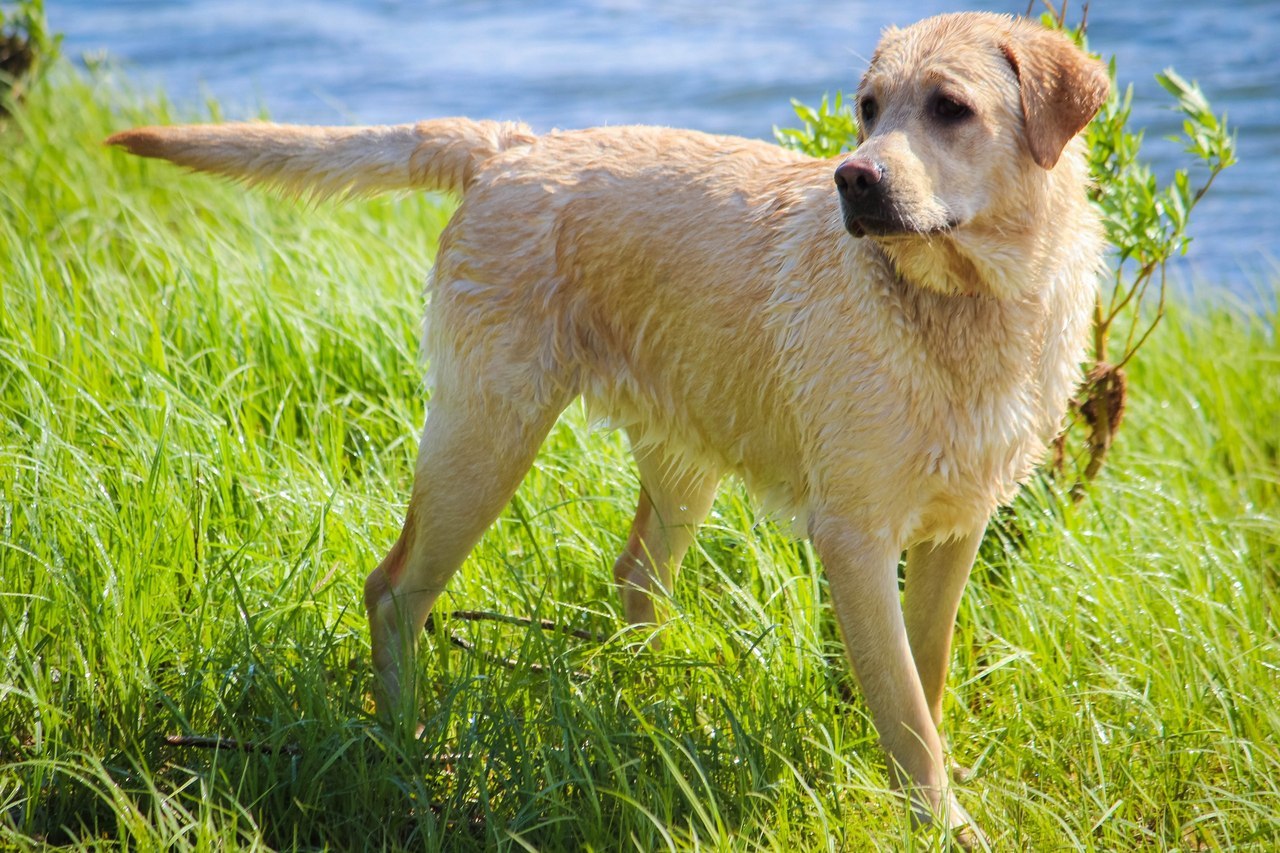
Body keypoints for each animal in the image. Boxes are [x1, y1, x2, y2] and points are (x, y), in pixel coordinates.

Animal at [107, 13, 1111, 845]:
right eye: (867, 110)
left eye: (951, 108)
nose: (852, 178)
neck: (966, 303)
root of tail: (514, 145)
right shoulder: (854, 537)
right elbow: (903, 708)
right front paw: (943, 823)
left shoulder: (957, 527)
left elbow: (926, 677)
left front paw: (935, 794)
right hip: (486, 434)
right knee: (393, 590)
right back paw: (407, 746)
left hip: (680, 459)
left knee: (633, 578)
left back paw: (651, 699)